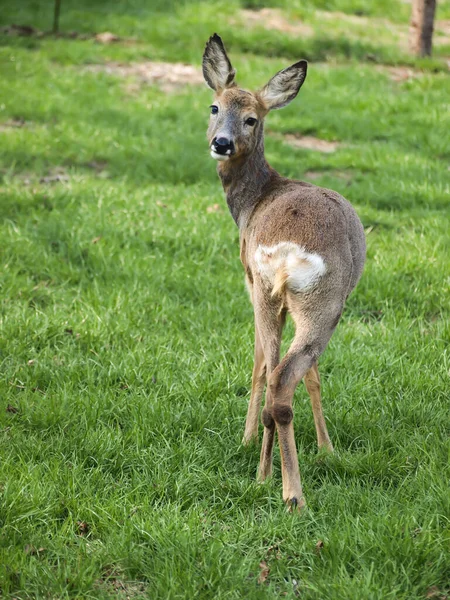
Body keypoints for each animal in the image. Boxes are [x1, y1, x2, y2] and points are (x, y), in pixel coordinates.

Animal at [204, 34, 366, 510]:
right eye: (215, 107)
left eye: (252, 118)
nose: (221, 143)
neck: (255, 199)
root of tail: (288, 252)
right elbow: (305, 374)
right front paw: (327, 448)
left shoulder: (249, 282)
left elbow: (261, 360)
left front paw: (248, 442)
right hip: (316, 302)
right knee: (284, 376)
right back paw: (288, 490)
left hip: (286, 294)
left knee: (275, 371)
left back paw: (274, 482)